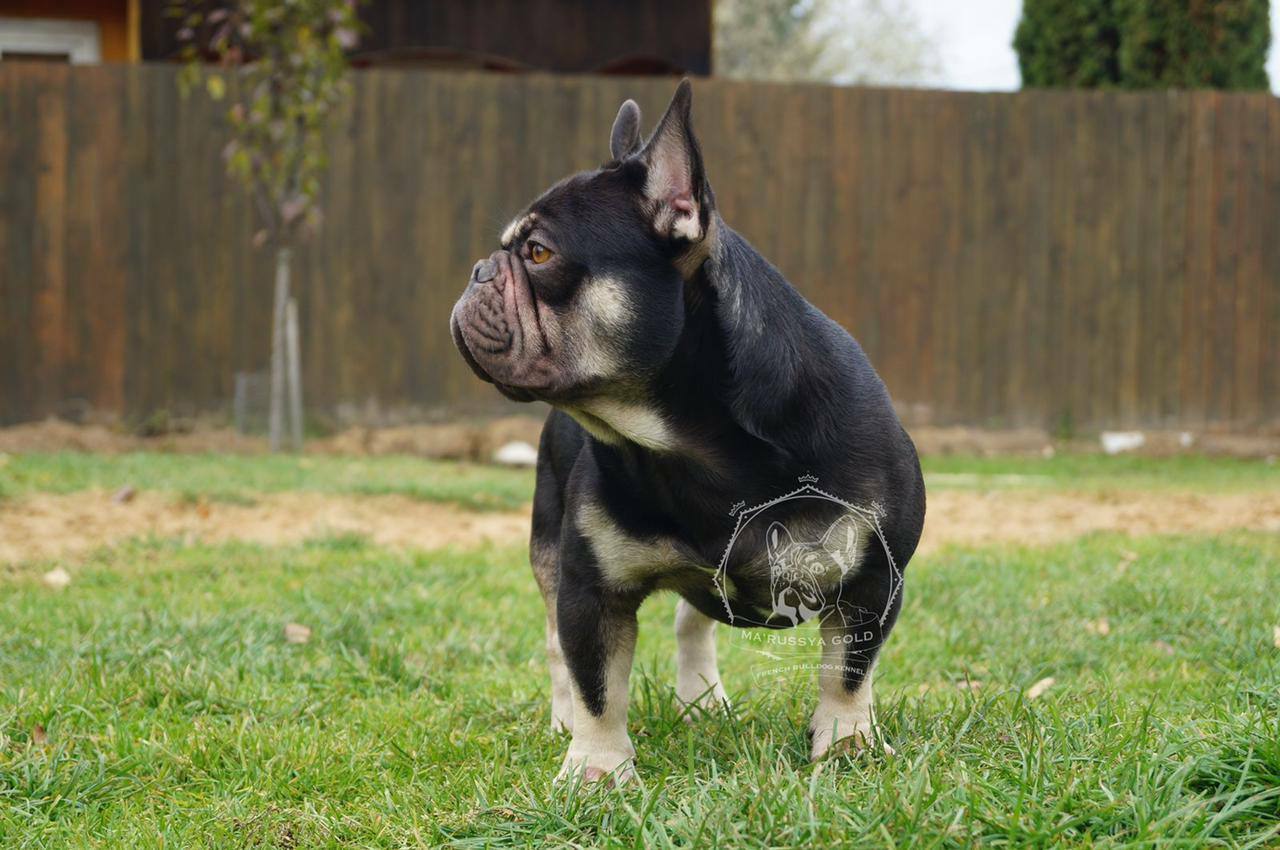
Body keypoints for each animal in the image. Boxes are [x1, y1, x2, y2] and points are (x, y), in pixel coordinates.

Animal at [450, 79, 921, 783]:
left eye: (538, 253)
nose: (480, 269)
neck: (695, 445)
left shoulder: (873, 578)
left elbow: (847, 669)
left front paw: (845, 744)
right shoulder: (591, 589)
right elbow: (596, 682)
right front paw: (595, 770)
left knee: (692, 619)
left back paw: (701, 700)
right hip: (547, 546)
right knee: (561, 647)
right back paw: (567, 720)